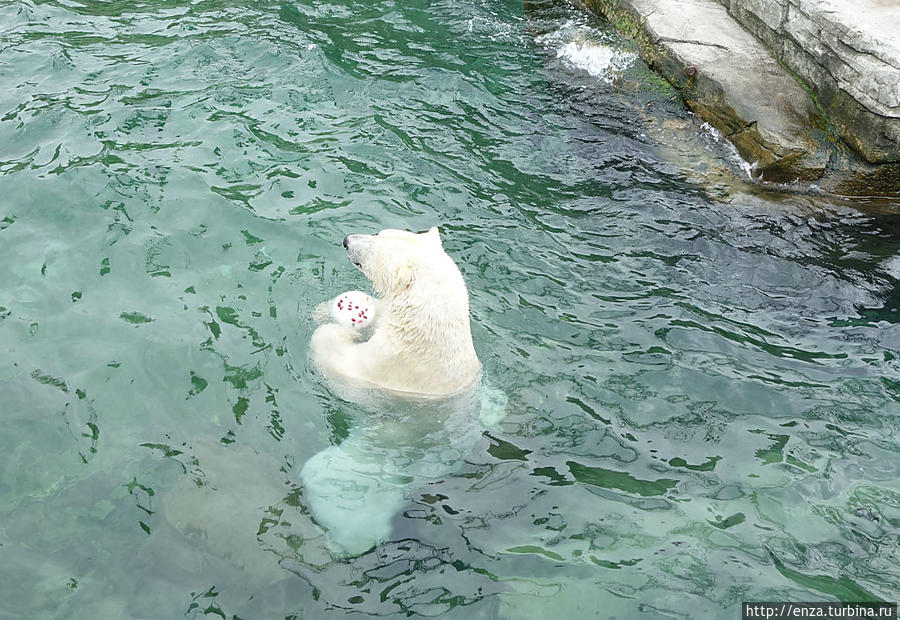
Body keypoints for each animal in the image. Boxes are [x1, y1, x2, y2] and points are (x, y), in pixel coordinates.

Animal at [312, 225, 482, 394]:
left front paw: (341, 331)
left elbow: (341, 358)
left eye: (373, 250)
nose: (347, 241)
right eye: (379, 234)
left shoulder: (386, 364)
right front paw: (322, 311)